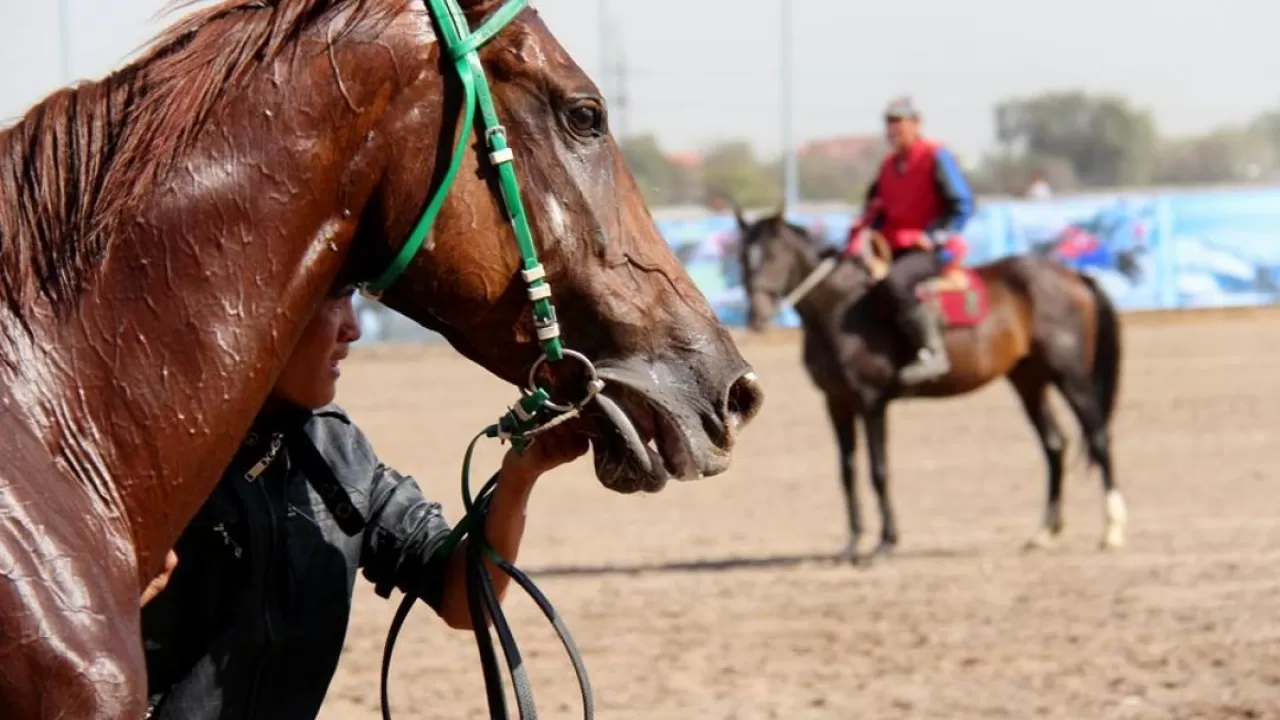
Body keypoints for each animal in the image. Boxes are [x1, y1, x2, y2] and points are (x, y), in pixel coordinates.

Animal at [737, 206, 1126, 561]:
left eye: (771, 255)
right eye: (741, 256)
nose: (756, 317)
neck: (841, 306)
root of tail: (1074, 275)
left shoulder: (871, 401)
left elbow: (878, 470)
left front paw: (885, 541)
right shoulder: (836, 402)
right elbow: (846, 471)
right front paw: (852, 543)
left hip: (1070, 375)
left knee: (1099, 437)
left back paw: (1112, 529)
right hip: (1029, 379)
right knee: (1054, 445)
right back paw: (1045, 532)